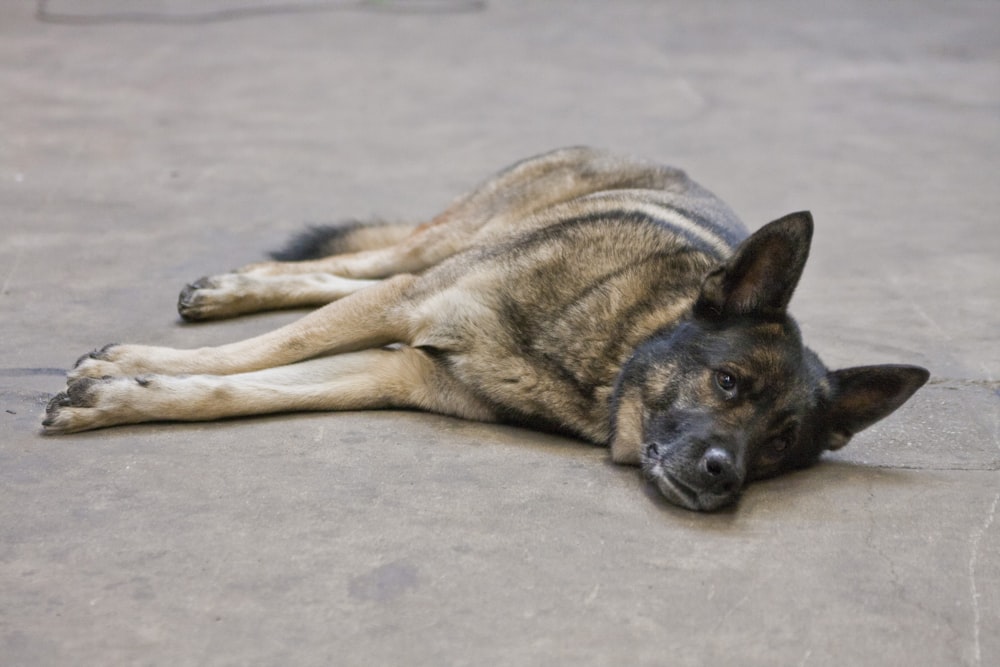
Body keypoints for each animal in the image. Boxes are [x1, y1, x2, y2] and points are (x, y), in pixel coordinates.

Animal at [39, 147, 928, 512]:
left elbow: (242, 389)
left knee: (354, 271)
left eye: (780, 445)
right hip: (444, 245)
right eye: (728, 380)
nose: (724, 475)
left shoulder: (393, 370)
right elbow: (267, 350)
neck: (609, 352)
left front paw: (123, 391)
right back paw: (232, 289)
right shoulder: (409, 311)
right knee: (374, 257)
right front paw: (130, 364)